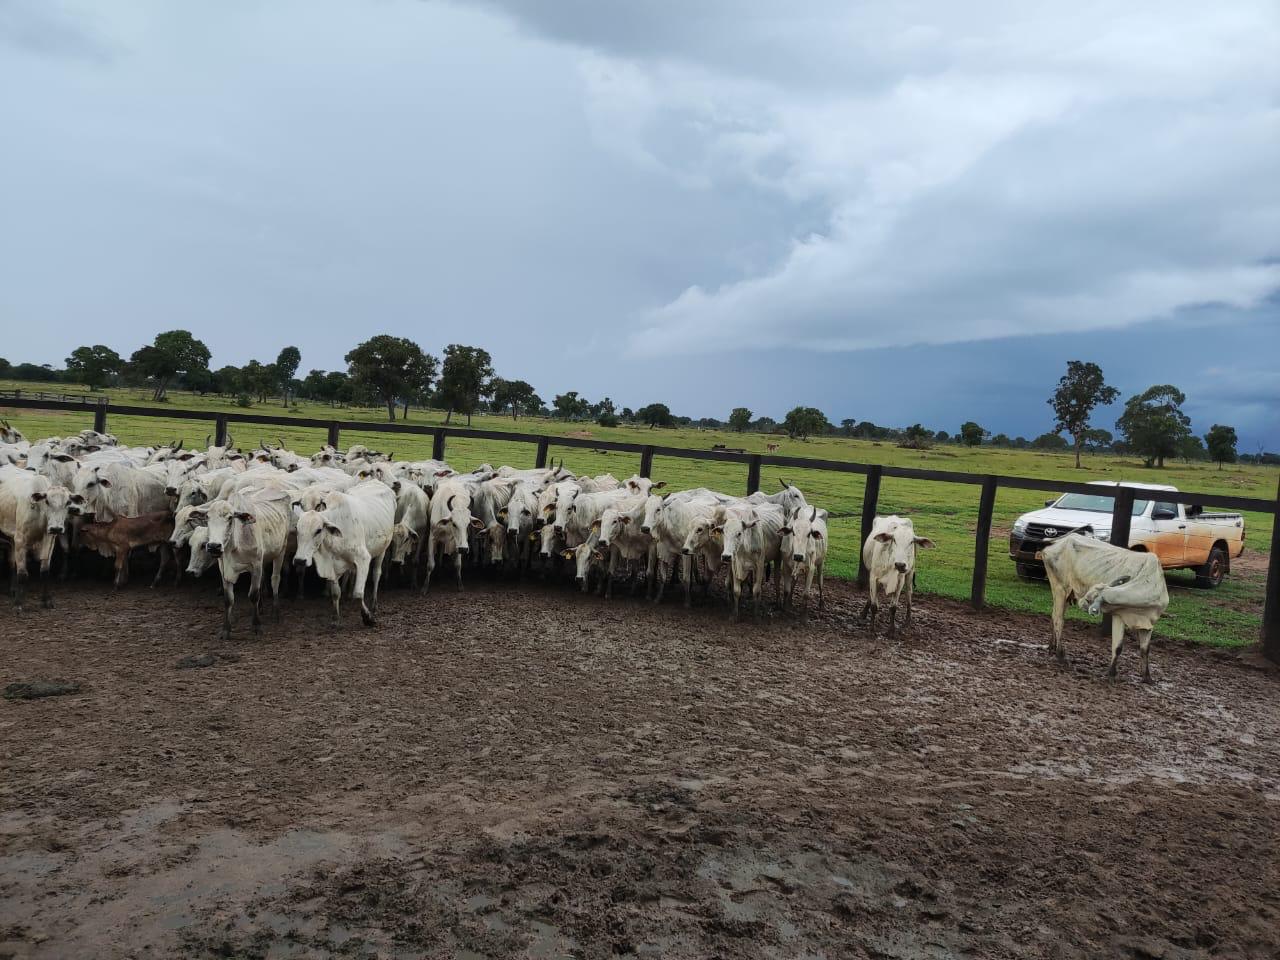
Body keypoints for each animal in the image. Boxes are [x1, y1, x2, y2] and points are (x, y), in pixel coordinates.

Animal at [0, 465, 70, 609]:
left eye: (68, 502)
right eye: (47, 501)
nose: (56, 528)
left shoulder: (49, 539)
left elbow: (44, 571)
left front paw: (46, 601)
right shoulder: (20, 539)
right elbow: (22, 574)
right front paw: (18, 603)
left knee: (11, 562)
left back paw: (12, 589)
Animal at [293, 481, 396, 623]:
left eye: (318, 530)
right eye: (296, 528)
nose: (300, 561)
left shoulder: (363, 558)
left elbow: (358, 593)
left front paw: (367, 617)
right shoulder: (333, 567)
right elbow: (336, 593)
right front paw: (336, 618)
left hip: (382, 549)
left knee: (376, 574)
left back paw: (374, 604)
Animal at [1040, 532, 1169, 682]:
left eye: (1089, 598)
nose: (1081, 601)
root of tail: (1062, 540)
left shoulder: (1148, 622)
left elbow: (1145, 649)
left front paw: (1147, 678)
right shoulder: (1119, 615)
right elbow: (1118, 647)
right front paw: (1111, 673)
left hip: (1064, 593)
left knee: (1054, 615)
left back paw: (1052, 647)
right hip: (1060, 587)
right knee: (1058, 619)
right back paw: (1060, 654)